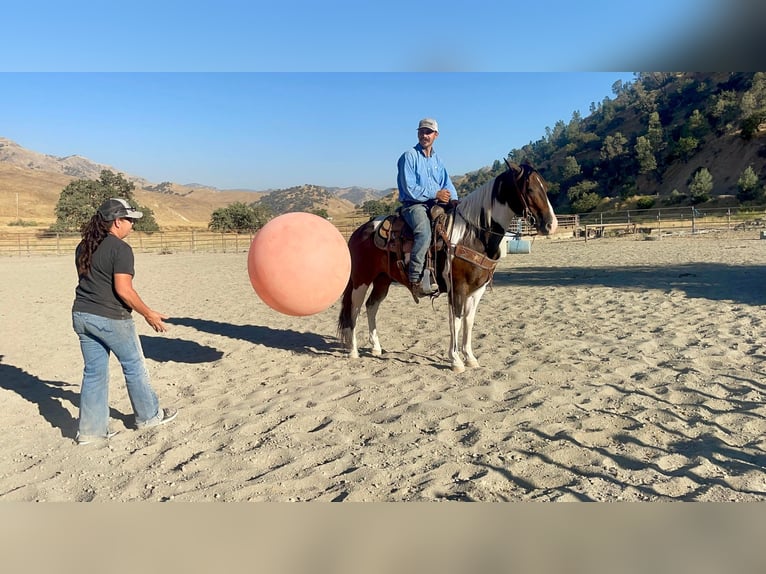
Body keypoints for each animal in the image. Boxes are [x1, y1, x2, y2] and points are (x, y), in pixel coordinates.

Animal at [336, 162, 560, 374]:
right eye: (529, 189)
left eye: (545, 186)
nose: (551, 224)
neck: (472, 234)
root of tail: (359, 231)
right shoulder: (458, 288)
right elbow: (457, 321)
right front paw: (456, 360)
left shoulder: (477, 290)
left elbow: (469, 321)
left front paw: (470, 358)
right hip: (361, 280)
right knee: (354, 309)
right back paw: (353, 350)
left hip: (383, 280)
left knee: (371, 306)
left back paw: (375, 347)